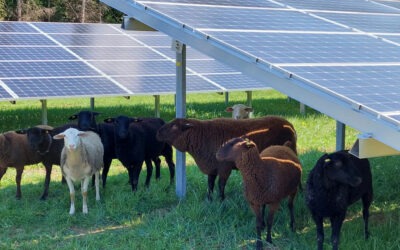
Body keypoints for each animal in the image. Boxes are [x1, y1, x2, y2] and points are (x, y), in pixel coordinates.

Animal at [156, 116, 296, 200]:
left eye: (174, 126)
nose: (158, 132)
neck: (202, 136)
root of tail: (289, 124)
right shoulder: (212, 166)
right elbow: (210, 184)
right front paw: (209, 199)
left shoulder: (224, 167)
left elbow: (221, 184)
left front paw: (221, 200)